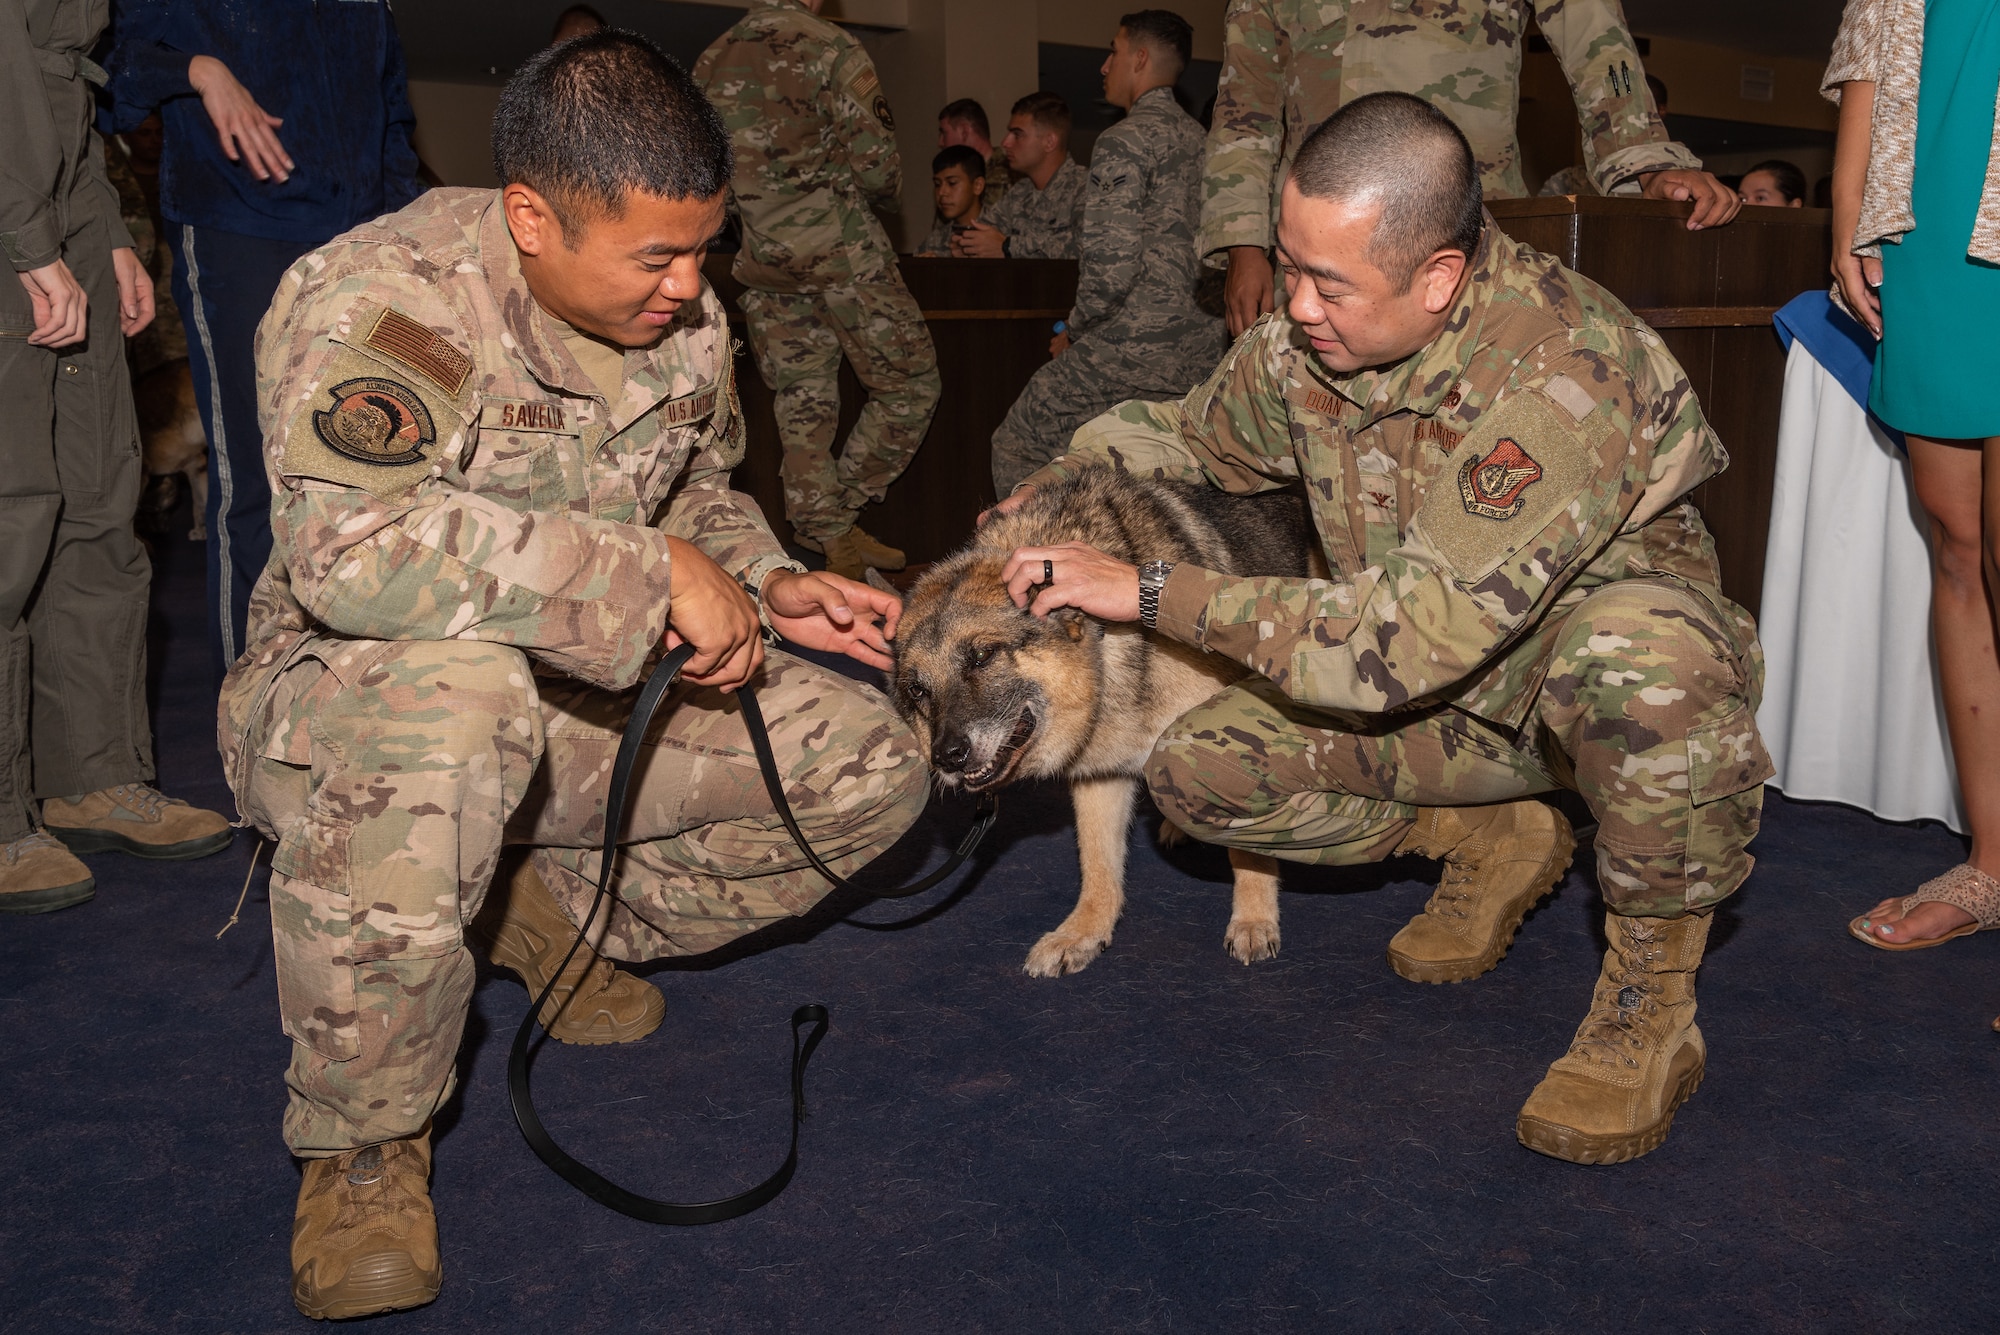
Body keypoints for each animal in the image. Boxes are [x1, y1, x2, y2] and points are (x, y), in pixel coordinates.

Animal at [900, 463, 1320, 975]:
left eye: (981, 657)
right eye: (917, 690)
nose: (947, 758)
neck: (1109, 646)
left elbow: (1248, 854)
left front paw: (1254, 919)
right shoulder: (1099, 777)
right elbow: (1098, 866)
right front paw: (1084, 932)